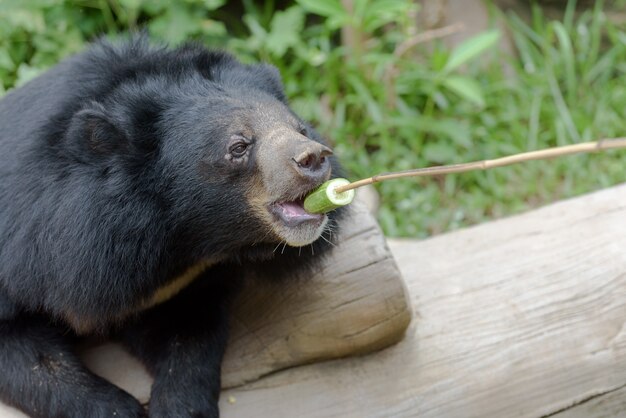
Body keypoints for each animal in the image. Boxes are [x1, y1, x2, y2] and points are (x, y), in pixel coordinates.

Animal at [0, 36, 342, 418]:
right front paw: (119, 409)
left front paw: (182, 406)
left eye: (300, 128)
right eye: (239, 146)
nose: (314, 157)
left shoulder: (179, 283)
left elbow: (188, 334)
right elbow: (34, 359)